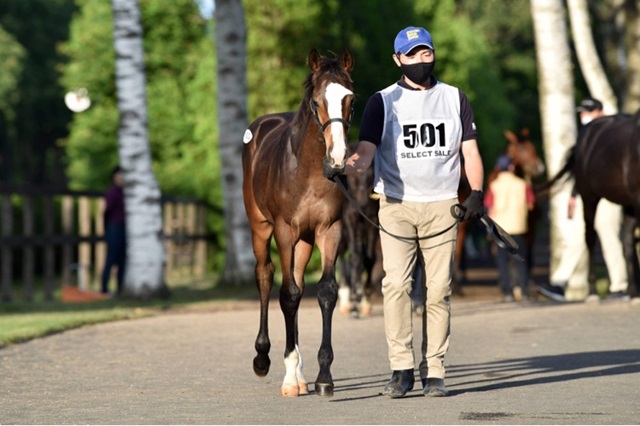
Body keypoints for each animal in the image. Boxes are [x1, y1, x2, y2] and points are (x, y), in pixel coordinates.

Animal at [241, 48, 356, 398]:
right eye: (317, 102)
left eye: (351, 99)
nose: (338, 158)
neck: (309, 172)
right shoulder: (284, 230)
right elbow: (288, 295)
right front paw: (289, 378)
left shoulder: (329, 230)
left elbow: (325, 291)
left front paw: (323, 377)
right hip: (261, 227)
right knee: (266, 277)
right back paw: (264, 359)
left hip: (304, 240)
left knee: (299, 281)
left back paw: (302, 374)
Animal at [540, 113, 640, 300]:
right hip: (589, 198)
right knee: (590, 238)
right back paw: (593, 292)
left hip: (628, 205)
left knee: (627, 241)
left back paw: (632, 291)